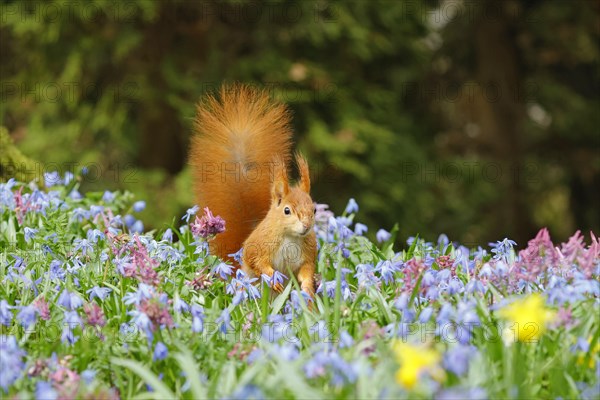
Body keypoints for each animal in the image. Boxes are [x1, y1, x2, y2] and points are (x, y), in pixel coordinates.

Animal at [190, 84, 316, 296]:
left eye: (314, 209)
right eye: (287, 210)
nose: (306, 226)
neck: (290, 236)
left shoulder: (308, 254)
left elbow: (307, 270)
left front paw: (308, 288)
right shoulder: (259, 245)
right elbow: (255, 259)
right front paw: (272, 277)